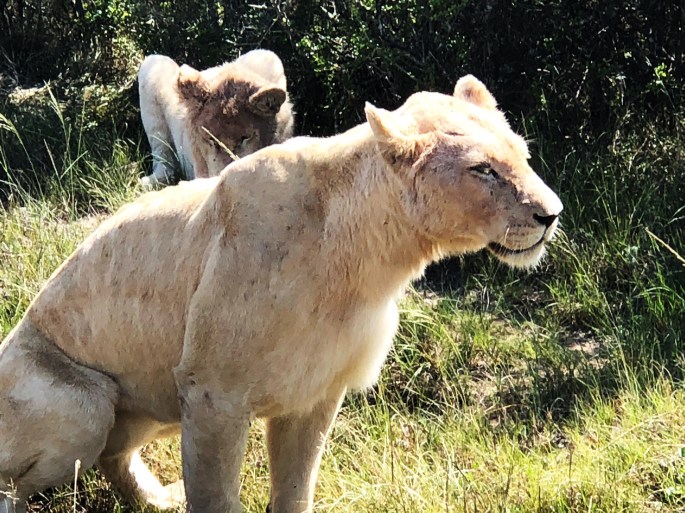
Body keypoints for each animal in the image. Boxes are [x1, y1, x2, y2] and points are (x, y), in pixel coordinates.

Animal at [0, 76, 562, 513]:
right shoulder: (213, 393)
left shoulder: (316, 392)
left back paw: (160, 499)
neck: (368, 262)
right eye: (483, 170)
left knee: (112, 457)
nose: (550, 213)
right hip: (87, 402)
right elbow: (216, 495)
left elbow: (295, 487)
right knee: (23, 482)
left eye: (523, 155)